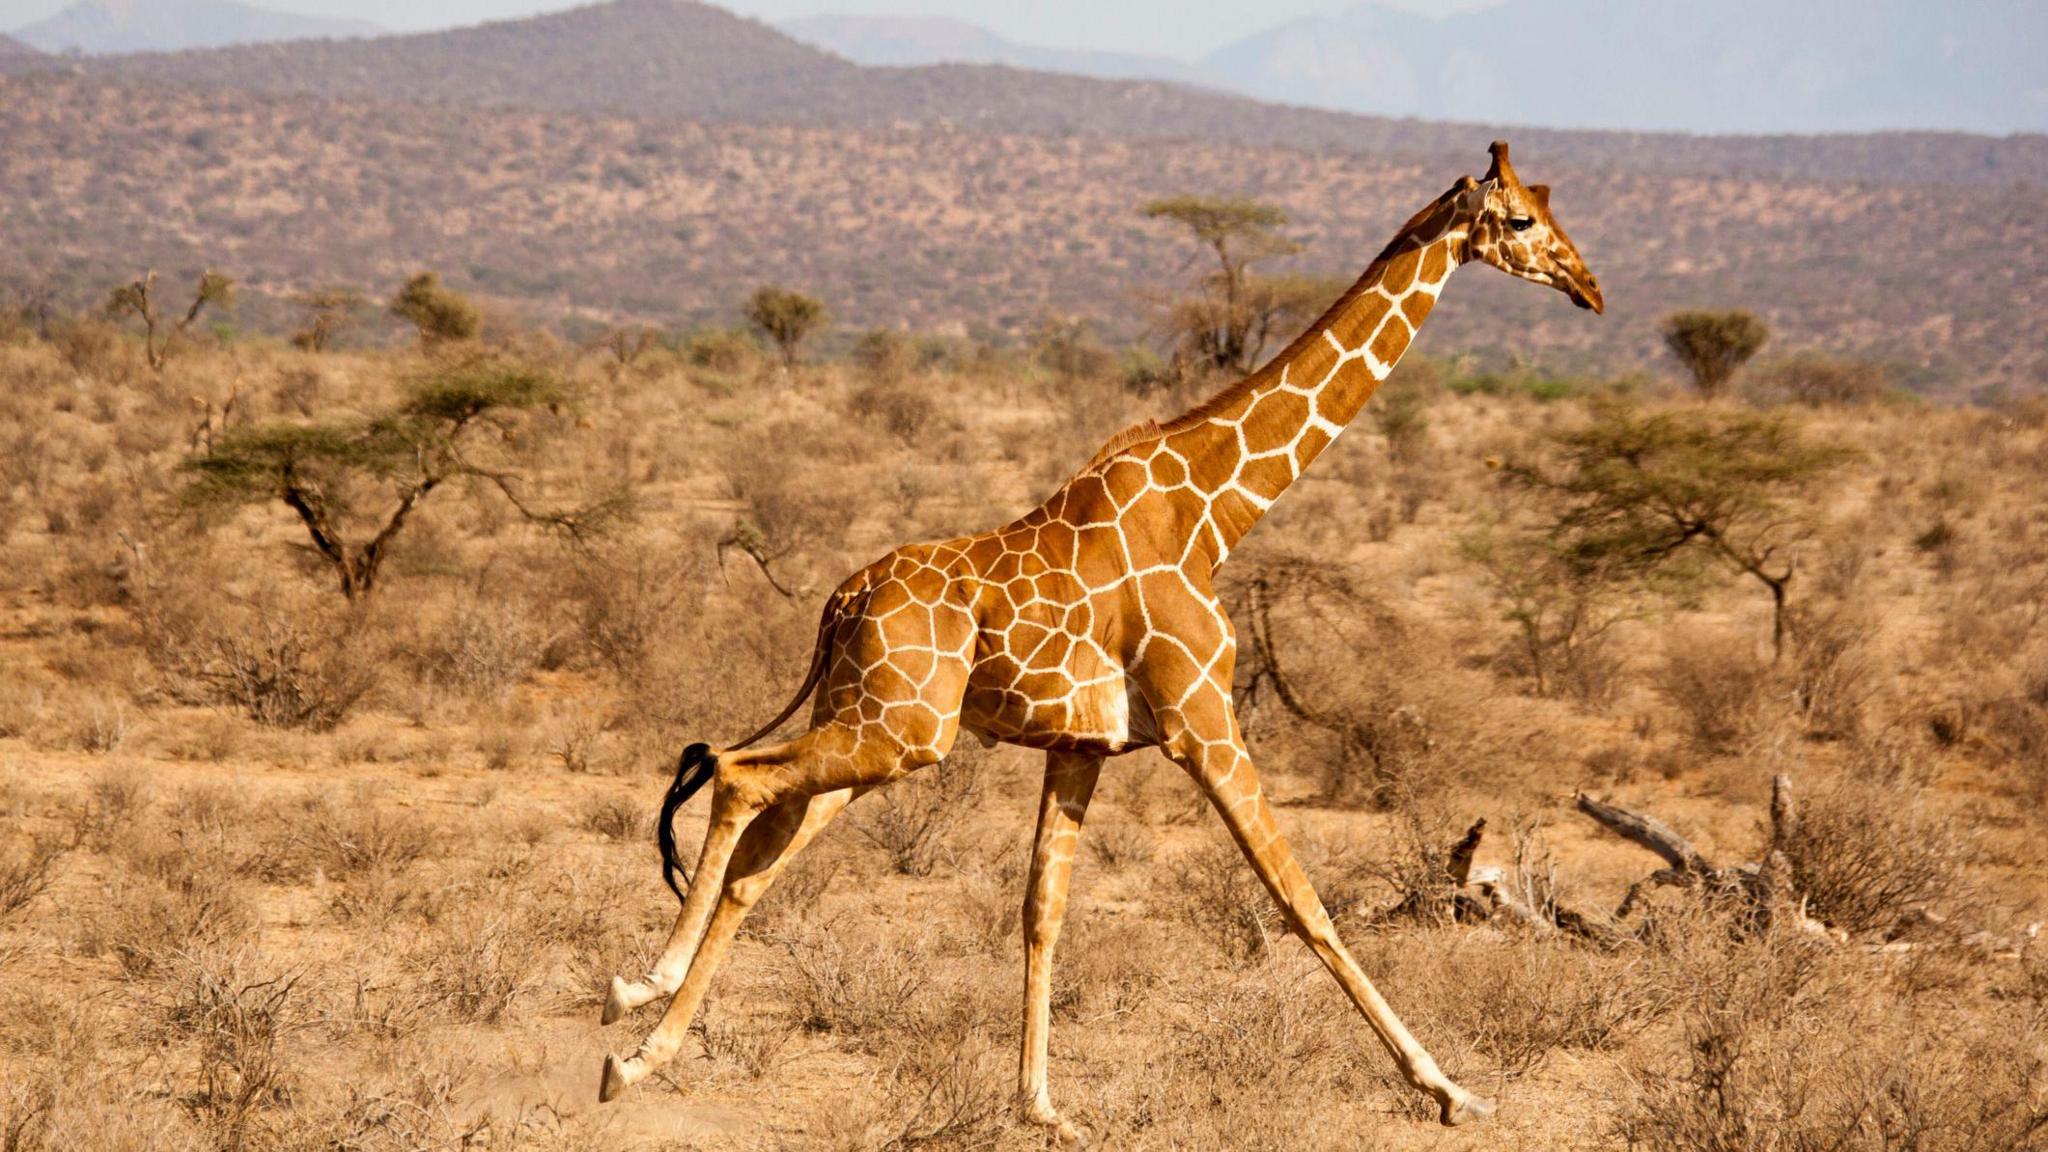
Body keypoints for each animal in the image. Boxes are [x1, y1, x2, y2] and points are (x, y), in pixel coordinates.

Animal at [599, 140, 1602, 1136]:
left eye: (1555, 208)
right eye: (1522, 219)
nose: (1589, 288)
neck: (1215, 510)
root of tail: (839, 603)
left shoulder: (1084, 744)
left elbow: (1043, 910)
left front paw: (1041, 1106)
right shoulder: (1205, 722)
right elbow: (1302, 900)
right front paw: (1449, 1089)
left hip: (873, 724)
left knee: (759, 853)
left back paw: (641, 1033)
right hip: (901, 732)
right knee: (736, 776)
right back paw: (635, 1009)